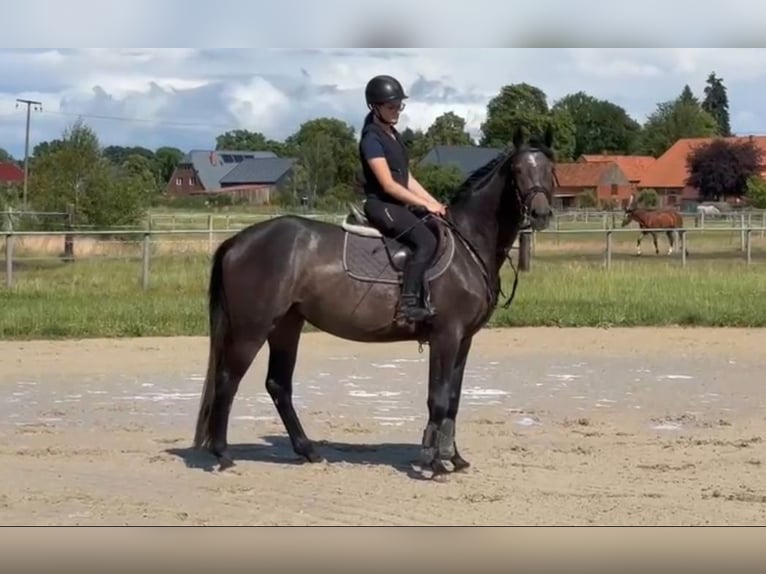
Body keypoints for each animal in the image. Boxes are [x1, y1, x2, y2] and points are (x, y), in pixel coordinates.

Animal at [192, 126, 557, 479]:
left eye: (549, 169)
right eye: (518, 170)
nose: (540, 213)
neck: (468, 243)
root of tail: (238, 241)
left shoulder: (463, 339)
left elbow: (453, 399)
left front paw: (453, 458)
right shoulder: (446, 335)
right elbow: (438, 399)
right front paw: (434, 462)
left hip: (286, 325)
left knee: (278, 385)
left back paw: (308, 451)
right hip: (252, 328)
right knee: (227, 381)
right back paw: (223, 455)